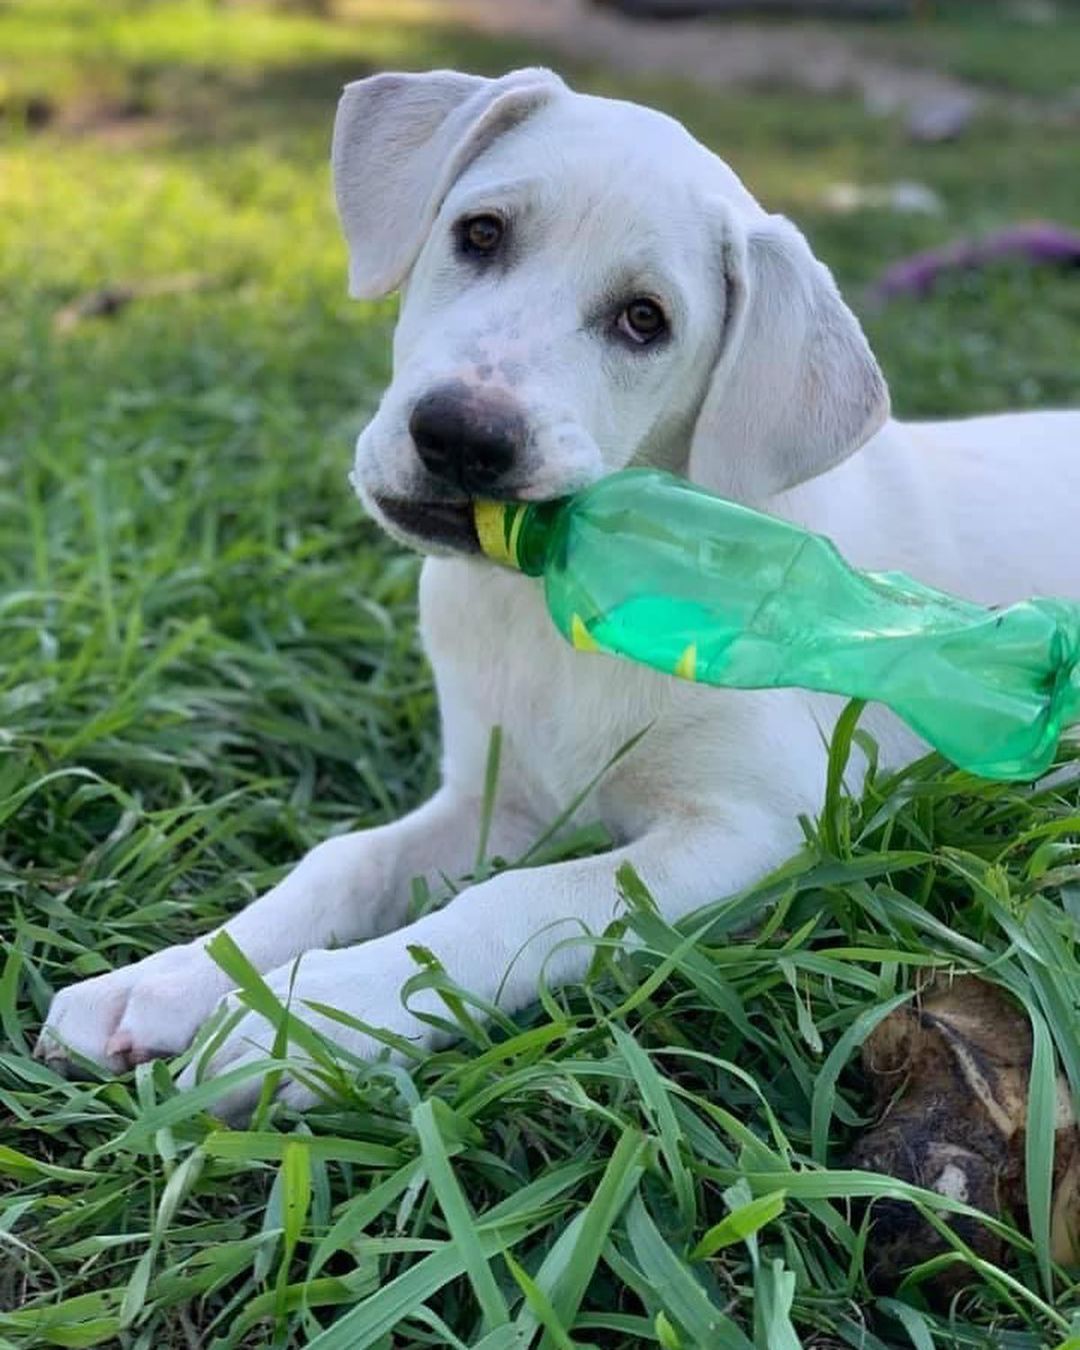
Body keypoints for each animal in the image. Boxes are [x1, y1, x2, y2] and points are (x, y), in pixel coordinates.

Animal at [35, 68, 1080, 1112]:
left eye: (645, 320)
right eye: (480, 234)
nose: (461, 436)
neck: (536, 611)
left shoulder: (770, 826)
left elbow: (520, 900)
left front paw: (302, 1018)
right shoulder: (502, 797)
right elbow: (347, 859)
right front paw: (175, 976)